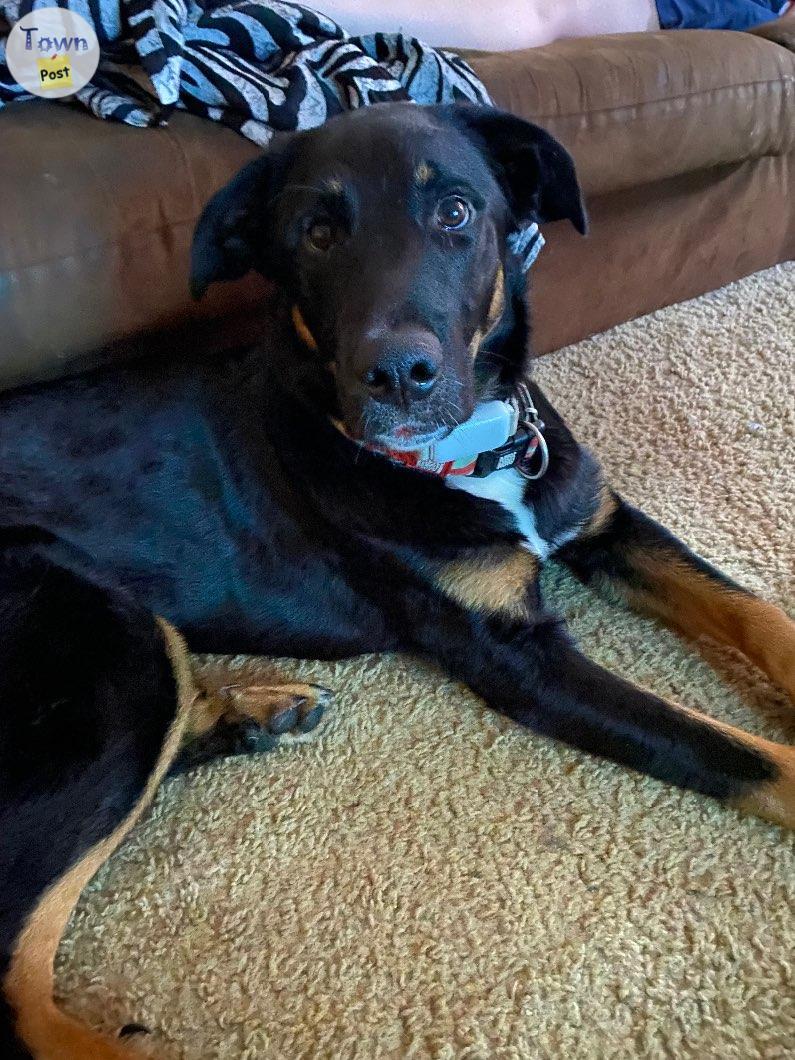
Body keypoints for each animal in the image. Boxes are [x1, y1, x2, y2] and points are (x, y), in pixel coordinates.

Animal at [1, 103, 795, 1055]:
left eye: (454, 211)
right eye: (315, 232)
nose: (397, 376)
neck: (469, 456)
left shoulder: (599, 525)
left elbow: (755, 614)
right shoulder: (516, 659)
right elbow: (722, 748)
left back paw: (253, 710)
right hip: (107, 639)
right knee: (15, 969)